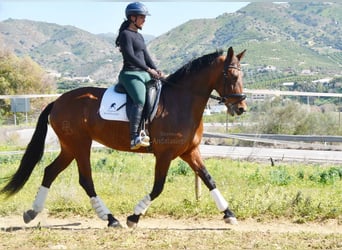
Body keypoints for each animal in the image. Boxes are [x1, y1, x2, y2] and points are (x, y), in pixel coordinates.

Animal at [0, 47, 246, 229]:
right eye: (232, 75)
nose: (241, 108)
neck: (181, 101)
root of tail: (58, 101)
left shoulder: (189, 151)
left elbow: (208, 178)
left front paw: (229, 213)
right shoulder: (164, 154)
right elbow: (158, 187)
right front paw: (134, 217)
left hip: (69, 147)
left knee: (50, 171)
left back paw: (32, 212)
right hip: (80, 145)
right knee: (85, 180)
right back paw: (111, 219)